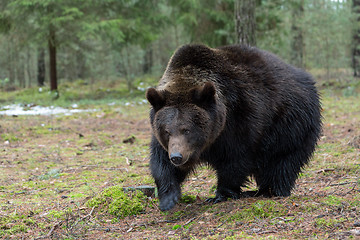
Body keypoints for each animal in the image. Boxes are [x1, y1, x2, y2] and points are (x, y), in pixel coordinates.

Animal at [145, 44, 322, 211]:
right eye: (167, 131)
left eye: (186, 129)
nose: (177, 156)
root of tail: (308, 80)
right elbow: (161, 162)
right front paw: (168, 198)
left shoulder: (239, 120)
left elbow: (235, 159)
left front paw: (221, 194)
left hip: (291, 124)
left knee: (283, 161)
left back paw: (271, 190)